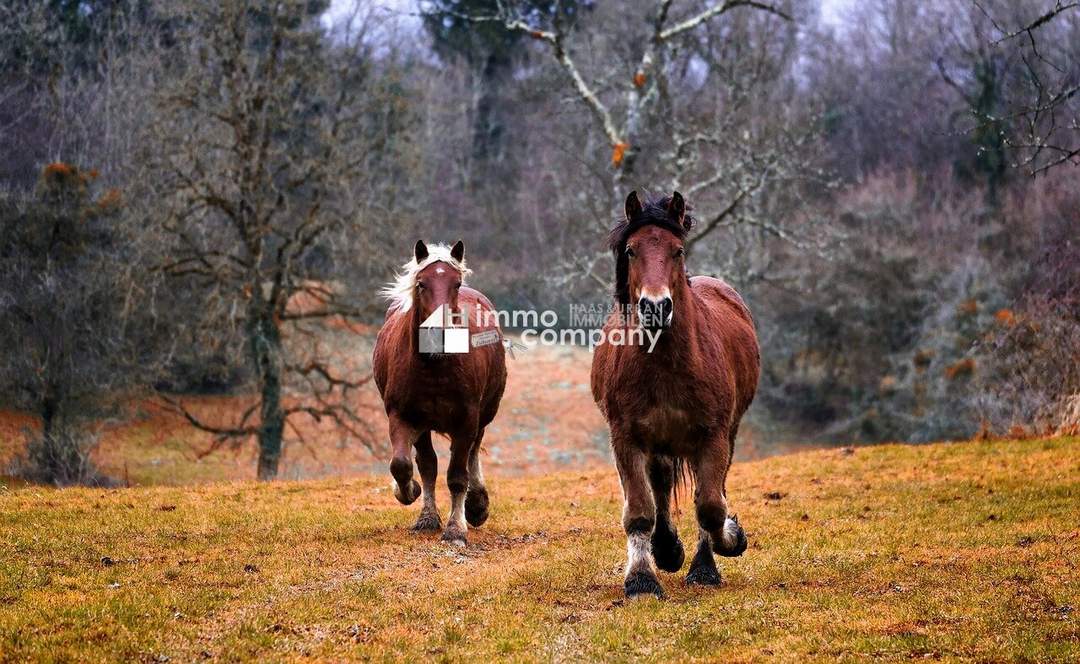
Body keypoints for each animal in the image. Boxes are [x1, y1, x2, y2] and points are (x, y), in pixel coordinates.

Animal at [373, 238, 507, 546]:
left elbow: (457, 475)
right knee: (428, 464)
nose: (439, 332)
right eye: (421, 284)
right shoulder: (403, 416)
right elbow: (405, 465)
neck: (435, 366)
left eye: (455, 284)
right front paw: (411, 495)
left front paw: (456, 528)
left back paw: (476, 505)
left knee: (472, 453)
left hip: (484, 414)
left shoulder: (467, 419)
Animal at [591, 191, 760, 595]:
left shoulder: (713, 436)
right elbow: (640, 510)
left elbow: (711, 506)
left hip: (724, 435)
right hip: (659, 443)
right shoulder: (626, 438)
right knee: (661, 485)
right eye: (631, 250)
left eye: (677, 250)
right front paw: (642, 578)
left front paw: (726, 544)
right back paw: (666, 549)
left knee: (708, 490)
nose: (656, 307)